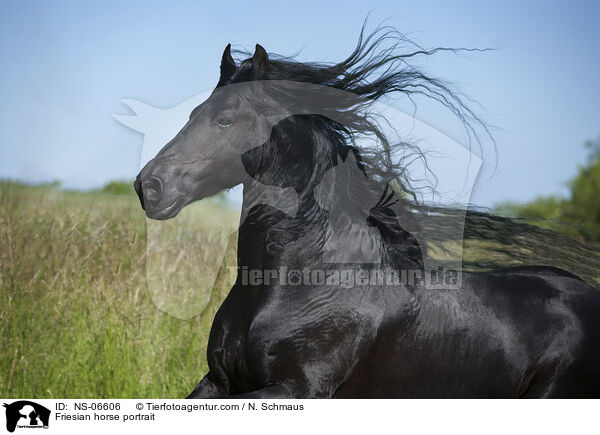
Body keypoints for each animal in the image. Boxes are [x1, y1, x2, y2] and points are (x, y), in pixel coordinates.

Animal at [135, 25, 600, 396]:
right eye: (195, 113)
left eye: (226, 119)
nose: (149, 187)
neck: (304, 279)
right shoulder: (216, 381)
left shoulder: (296, 388)